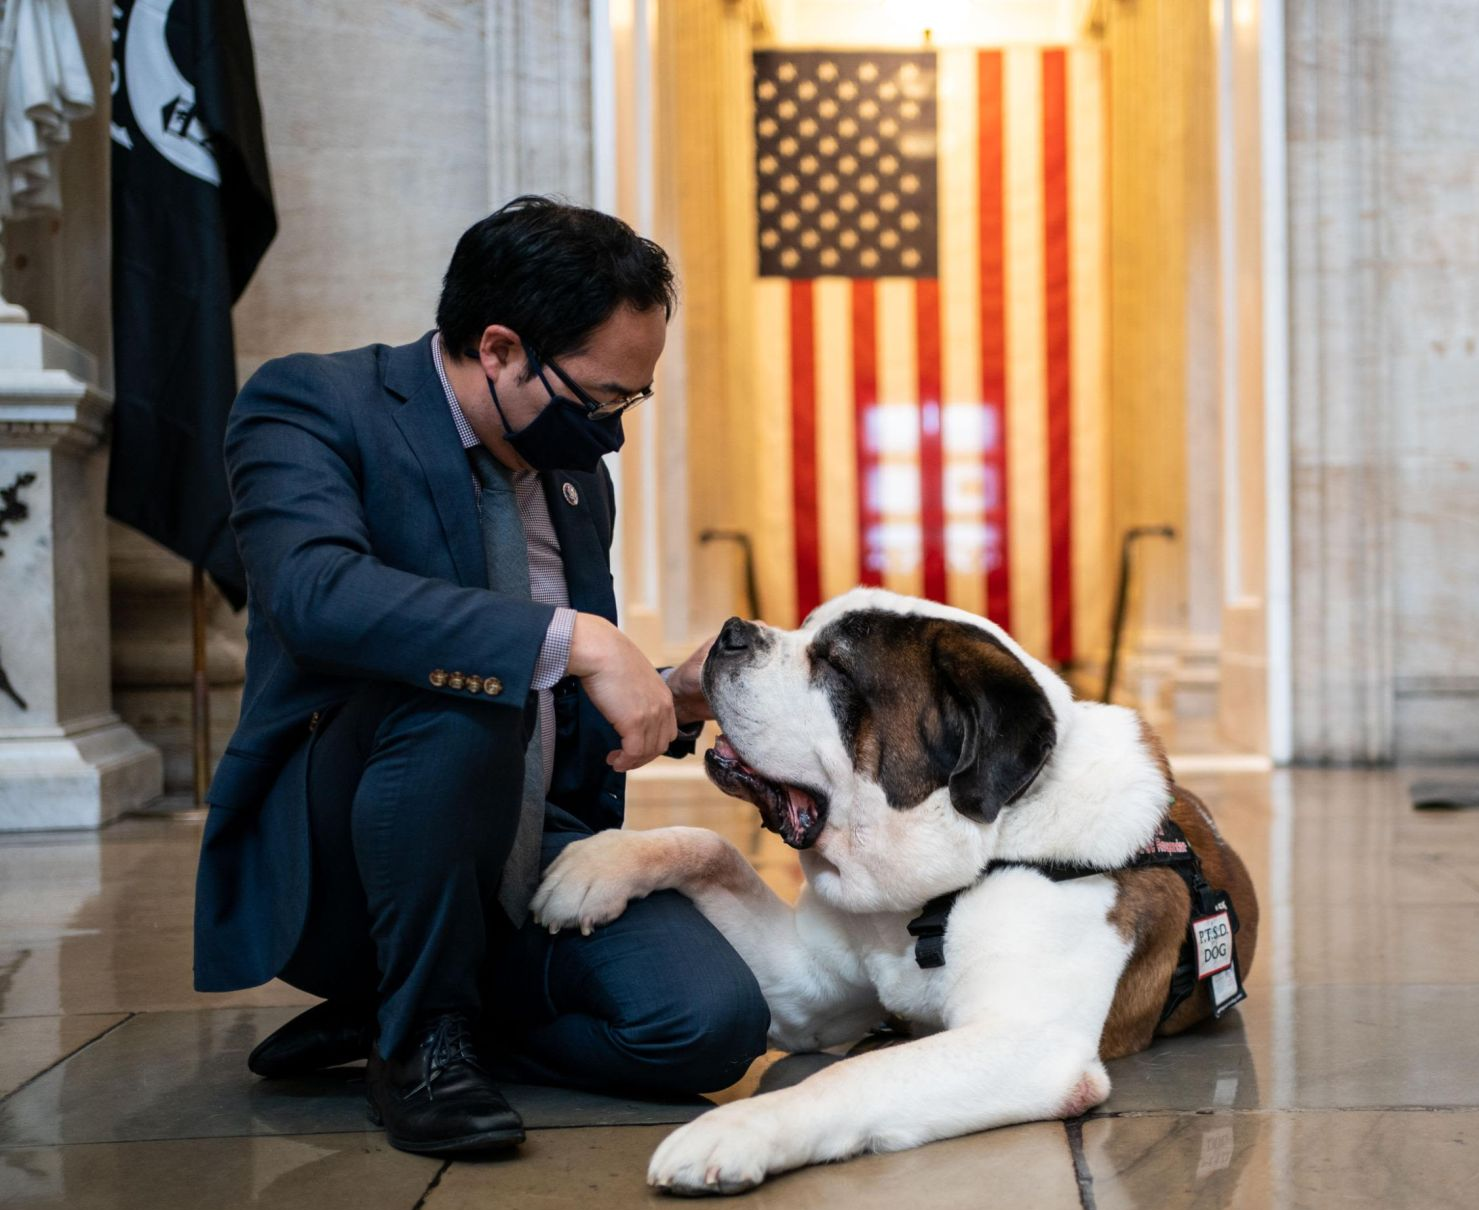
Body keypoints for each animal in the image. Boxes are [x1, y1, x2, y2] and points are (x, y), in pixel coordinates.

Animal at [526, 588, 1254, 1195]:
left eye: (836, 668)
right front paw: (596, 865)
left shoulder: (1029, 1041)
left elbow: (852, 1073)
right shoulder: (807, 995)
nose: (731, 631)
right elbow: (714, 848)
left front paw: (734, 1131)